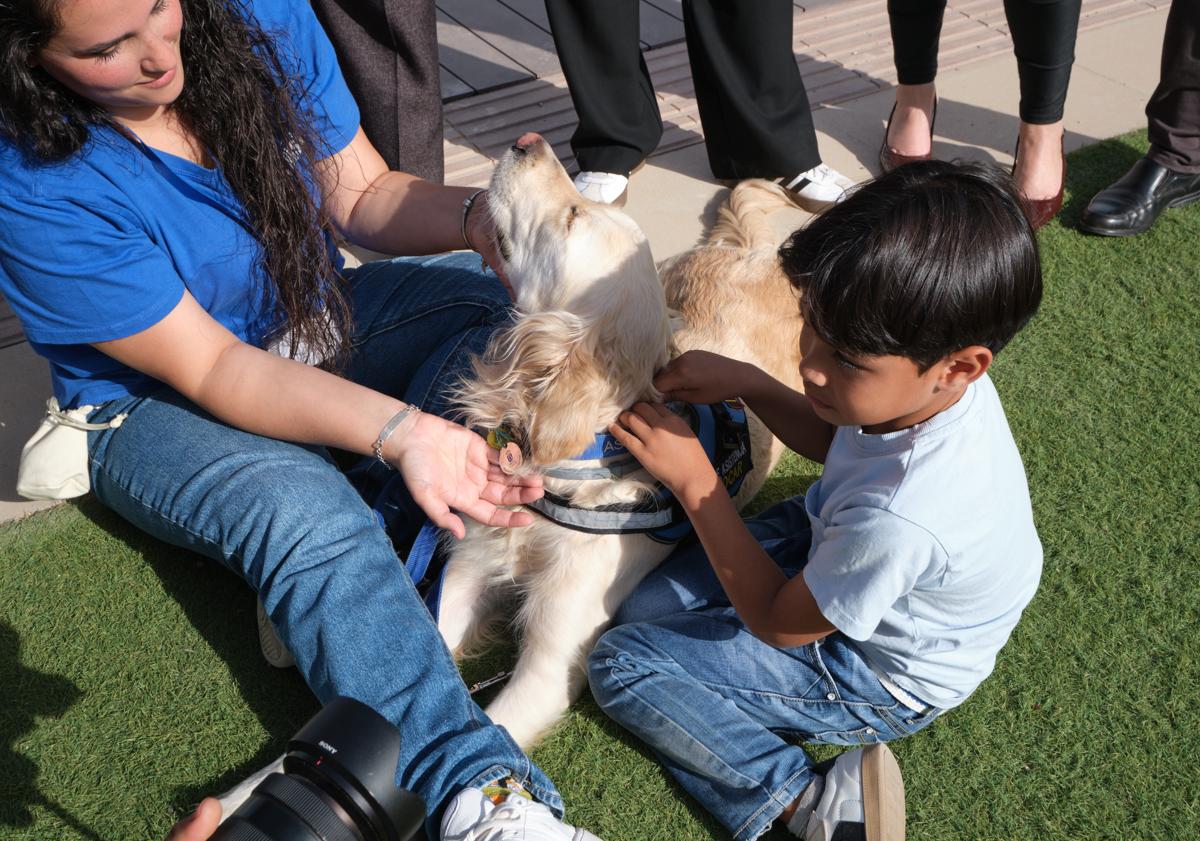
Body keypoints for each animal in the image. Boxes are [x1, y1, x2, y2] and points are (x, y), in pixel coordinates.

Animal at [436, 132, 801, 748]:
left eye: (573, 215)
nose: (528, 141)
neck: (563, 471)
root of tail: (750, 254)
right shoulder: (465, 575)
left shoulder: (551, 663)